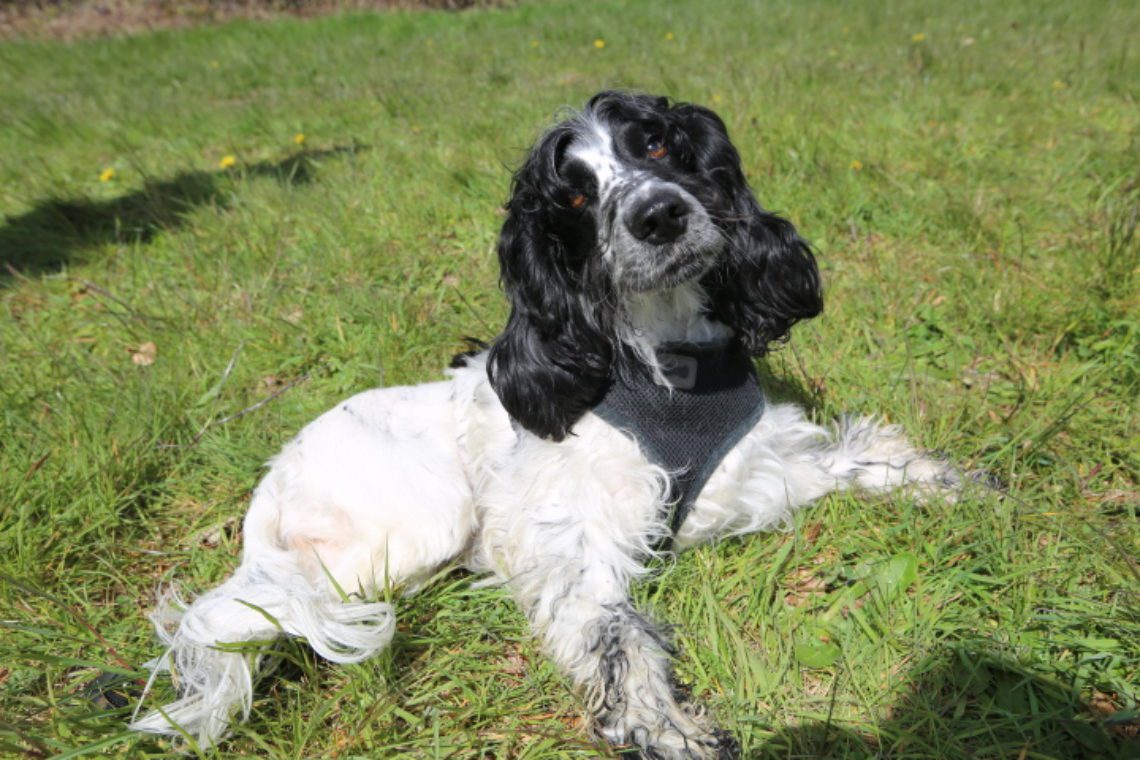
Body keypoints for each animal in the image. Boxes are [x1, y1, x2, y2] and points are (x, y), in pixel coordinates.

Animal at [129, 92, 957, 756]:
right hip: (422, 519)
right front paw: (667, 727)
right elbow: (616, 638)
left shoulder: (762, 470)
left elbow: (861, 459)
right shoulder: (572, 541)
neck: (668, 369)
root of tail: (266, 499)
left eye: (657, 146)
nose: (659, 214)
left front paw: (954, 486)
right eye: (575, 198)